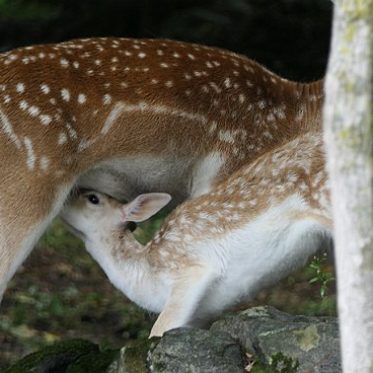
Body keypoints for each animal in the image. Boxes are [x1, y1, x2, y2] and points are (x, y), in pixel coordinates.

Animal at [61, 132, 332, 338]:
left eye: (93, 198)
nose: (64, 198)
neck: (145, 277)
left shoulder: (190, 268)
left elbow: (157, 331)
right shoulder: (200, 315)